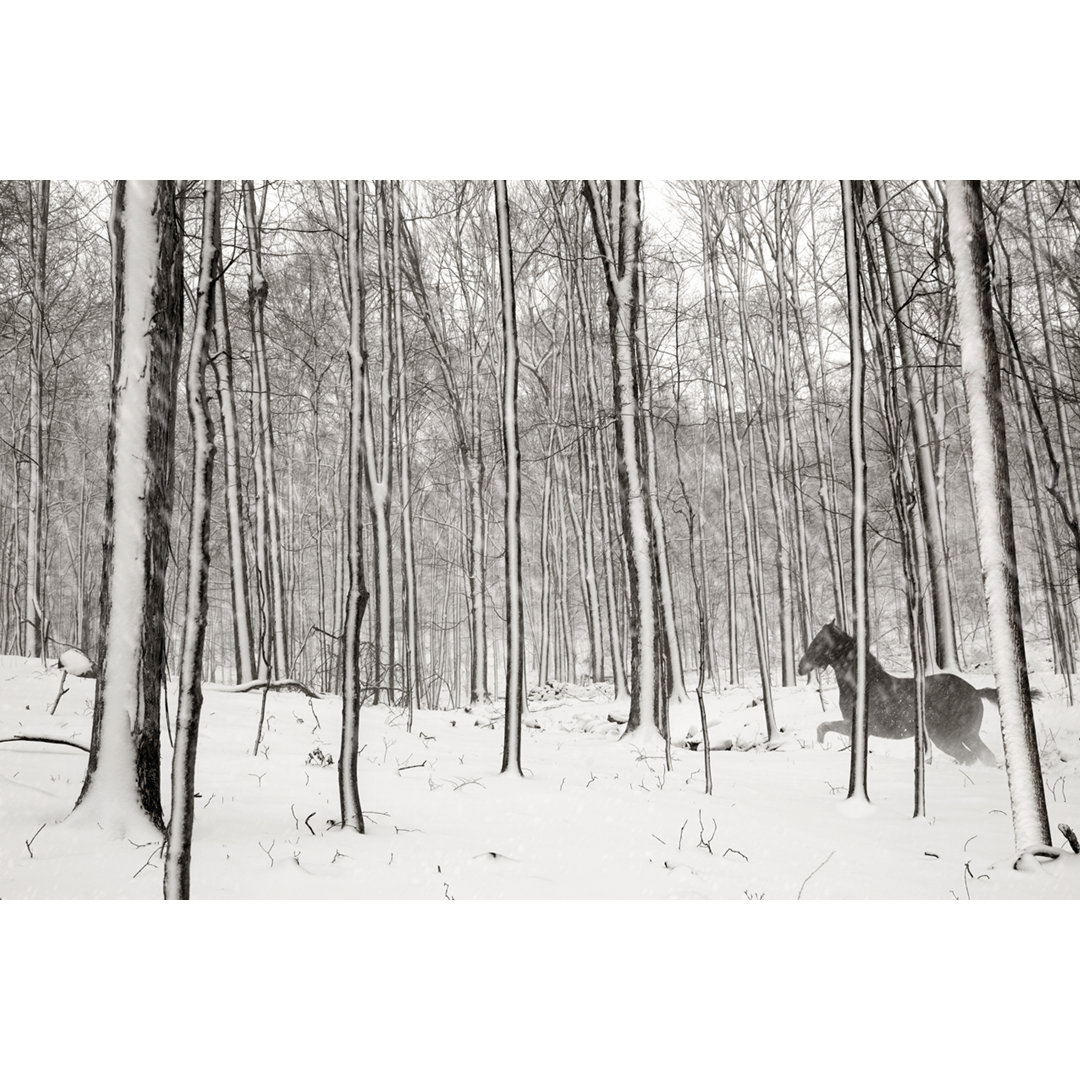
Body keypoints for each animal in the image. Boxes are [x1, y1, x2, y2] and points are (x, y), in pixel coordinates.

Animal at [794, 622, 1002, 764]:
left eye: (818, 642)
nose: (800, 667)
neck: (862, 686)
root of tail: (975, 691)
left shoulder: (854, 725)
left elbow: (823, 726)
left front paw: (820, 743)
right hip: (969, 736)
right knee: (986, 757)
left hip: (946, 738)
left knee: (970, 758)